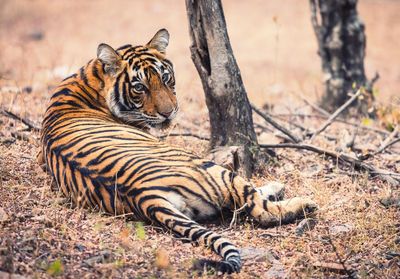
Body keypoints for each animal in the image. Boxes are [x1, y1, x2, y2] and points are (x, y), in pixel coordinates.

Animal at [38, 29, 318, 274]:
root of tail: (146, 196)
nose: (168, 112)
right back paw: (299, 200)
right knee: (259, 208)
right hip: (213, 170)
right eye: (139, 87)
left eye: (165, 78)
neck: (89, 78)